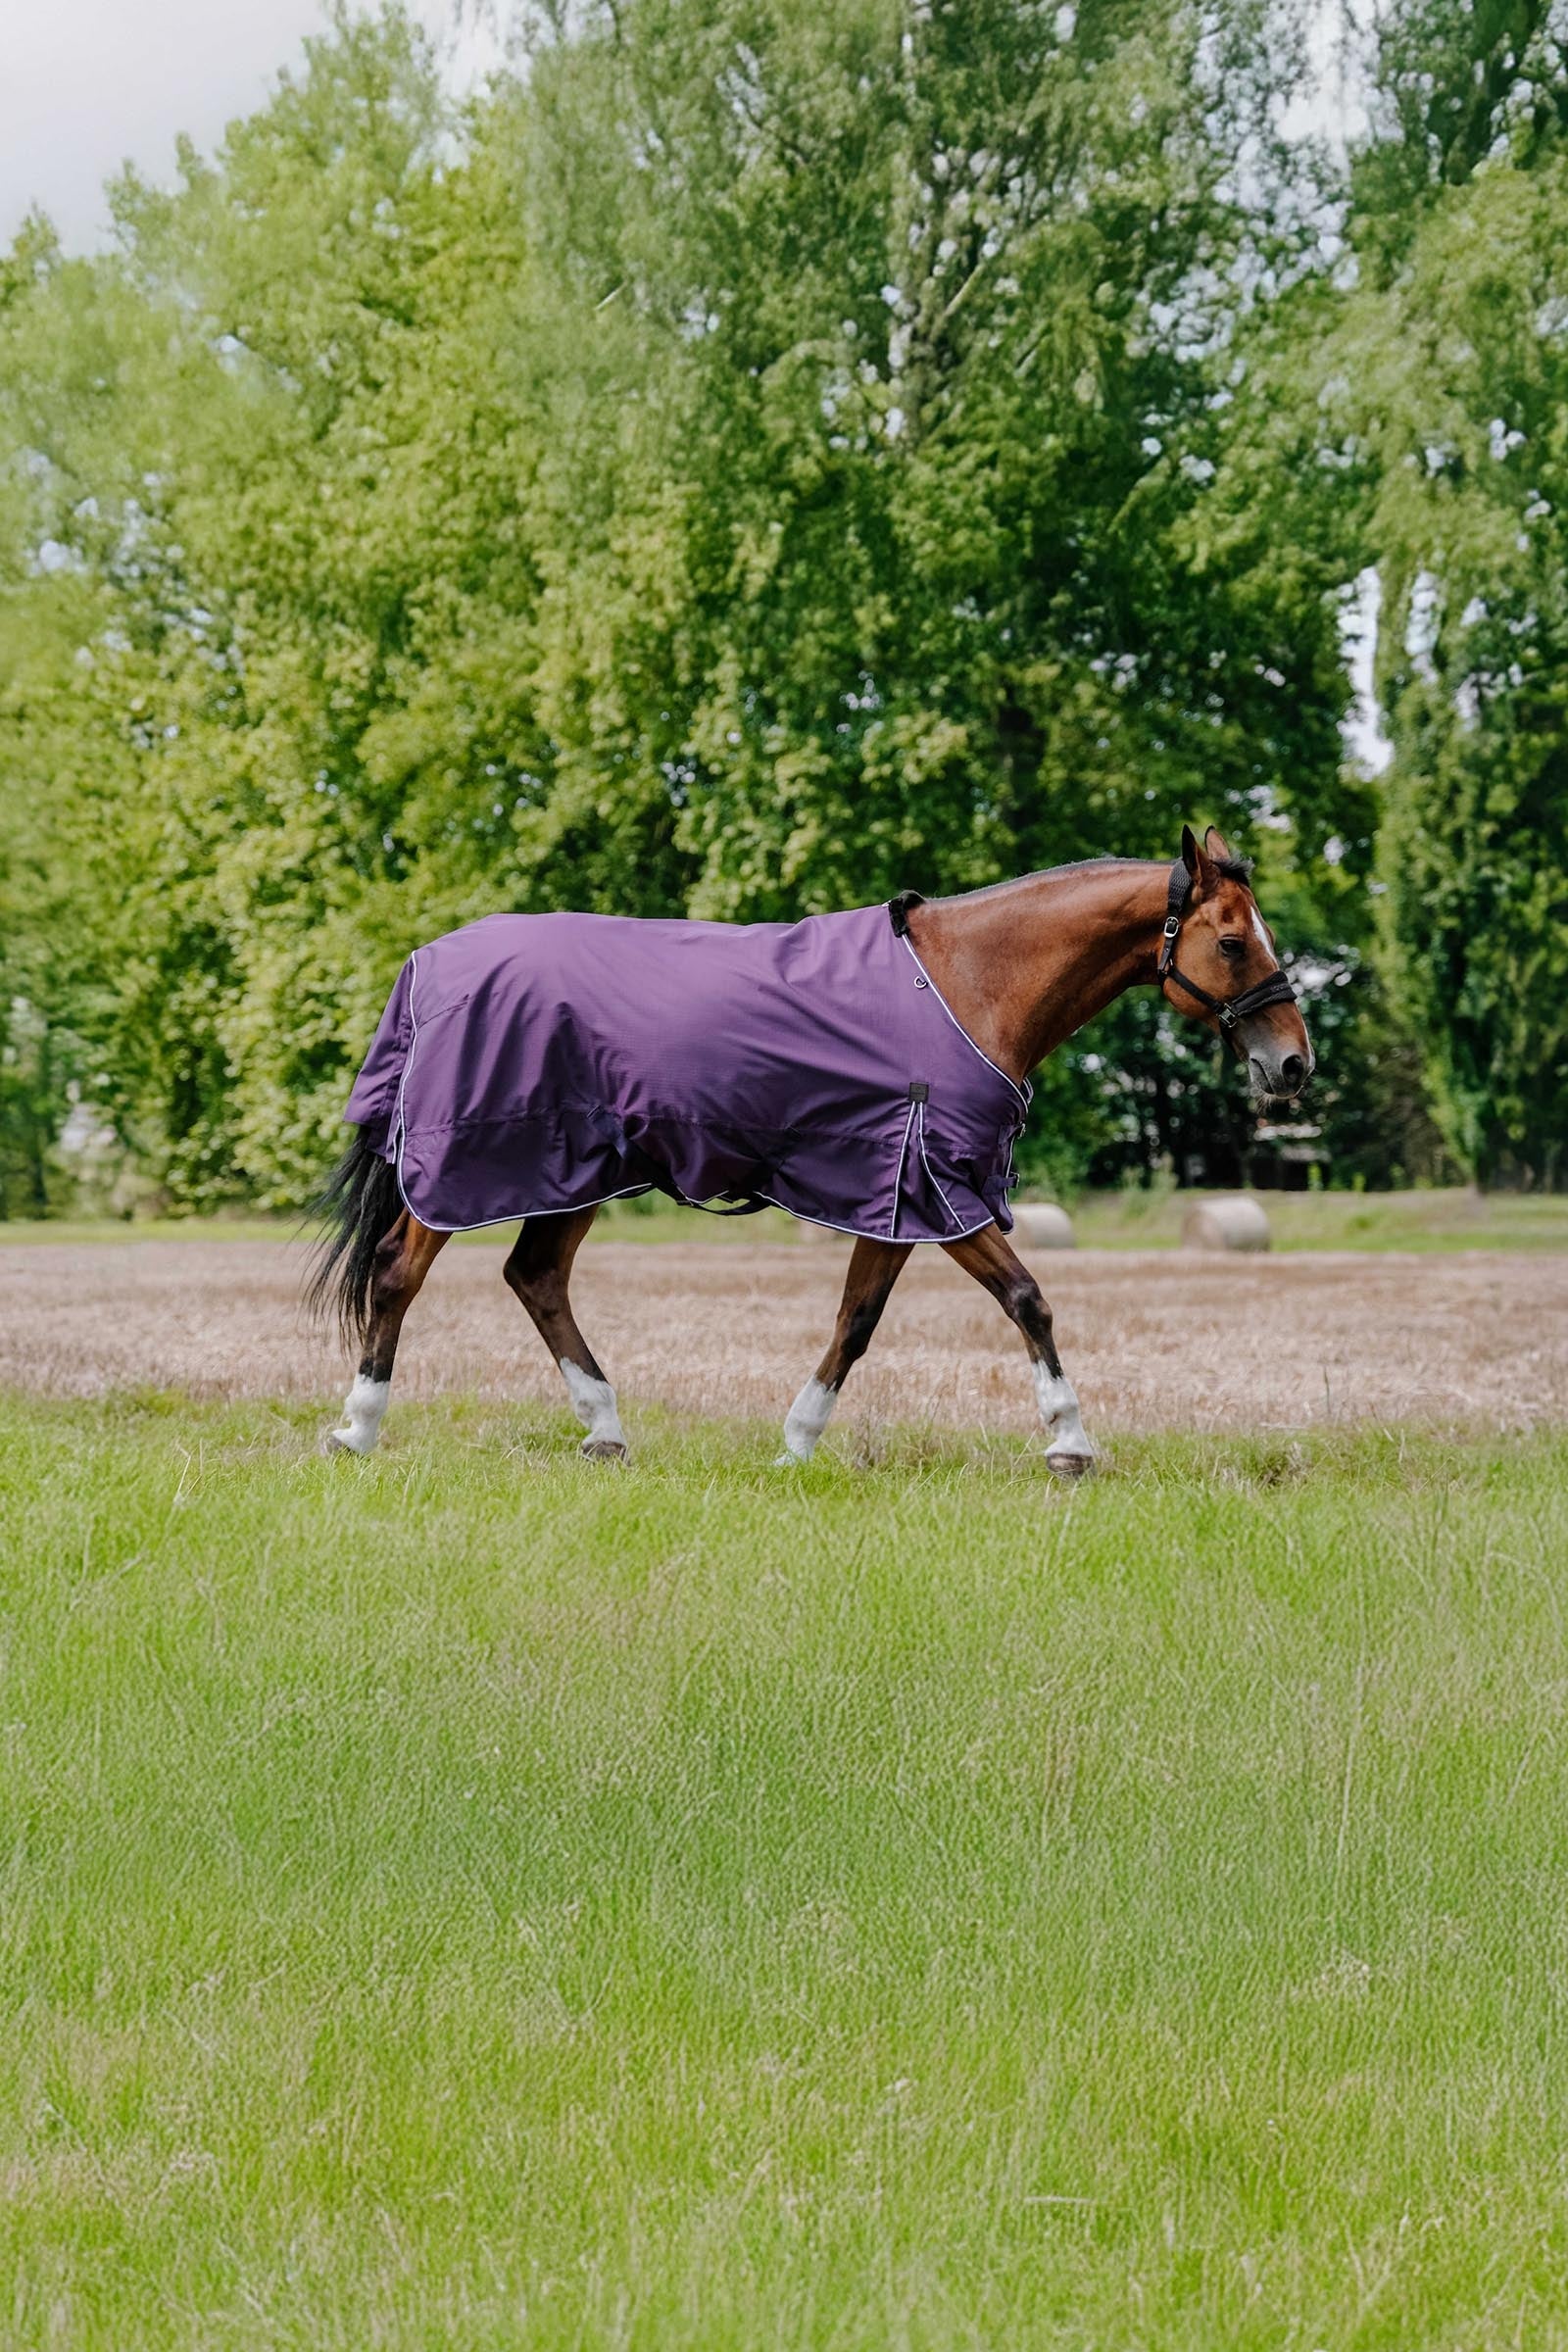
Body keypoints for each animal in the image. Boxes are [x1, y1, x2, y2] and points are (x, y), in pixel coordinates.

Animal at [309, 825, 1312, 1476]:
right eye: (1232, 940)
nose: (1293, 1064)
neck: (969, 982)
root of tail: (429, 964)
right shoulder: (940, 1190)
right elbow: (1028, 1299)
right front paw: (1068, 1440)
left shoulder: (896, 1195)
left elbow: (856, 1320)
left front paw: (797, 1440)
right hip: (466, 1170)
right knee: (399, 1272)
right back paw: (357, 1428)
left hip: (576, 1174)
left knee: (536, 1278)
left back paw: (604, 1429)